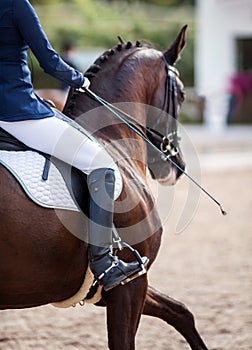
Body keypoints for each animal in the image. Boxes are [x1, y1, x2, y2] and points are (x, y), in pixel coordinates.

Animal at [0, 27, 208, 350]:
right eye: (183, 94)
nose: (178, 167)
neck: (113, 137)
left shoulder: (118, 287)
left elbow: (181, 311)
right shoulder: (130, 283)